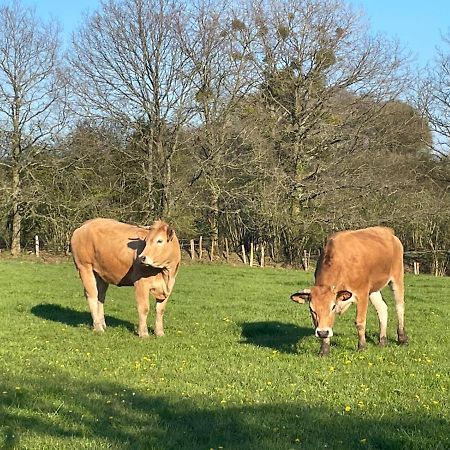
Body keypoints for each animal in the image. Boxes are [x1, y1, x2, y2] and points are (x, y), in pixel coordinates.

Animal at [290, 227, 410, 356]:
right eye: (311, 309)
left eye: (333, 307)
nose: (322, 332)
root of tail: (388, 231)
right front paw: (324, 350)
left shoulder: (362, 293)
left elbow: (360, 322)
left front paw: (362, 347)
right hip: (373, 289)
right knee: (382, 308)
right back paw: (382, 341)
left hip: (397, 278)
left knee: (399, 307)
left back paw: (402, 338)